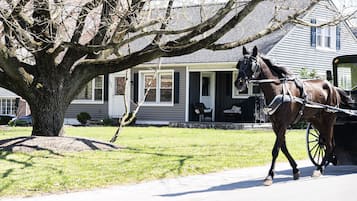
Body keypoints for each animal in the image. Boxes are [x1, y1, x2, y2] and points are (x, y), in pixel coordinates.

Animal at [234, 46, 350, 186]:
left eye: (251, 64)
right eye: (239, 64)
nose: (238, 83)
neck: (278, 90)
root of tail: (333, 87)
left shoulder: (284, 124)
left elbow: (276, 149)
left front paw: (269, 176)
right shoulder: (275, 125)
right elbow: (283, 147)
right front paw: (295, 170)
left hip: (328, 119)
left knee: (329, 144)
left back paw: (319, 169)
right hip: (316, 120)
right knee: (327, 143)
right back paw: (321, 166)